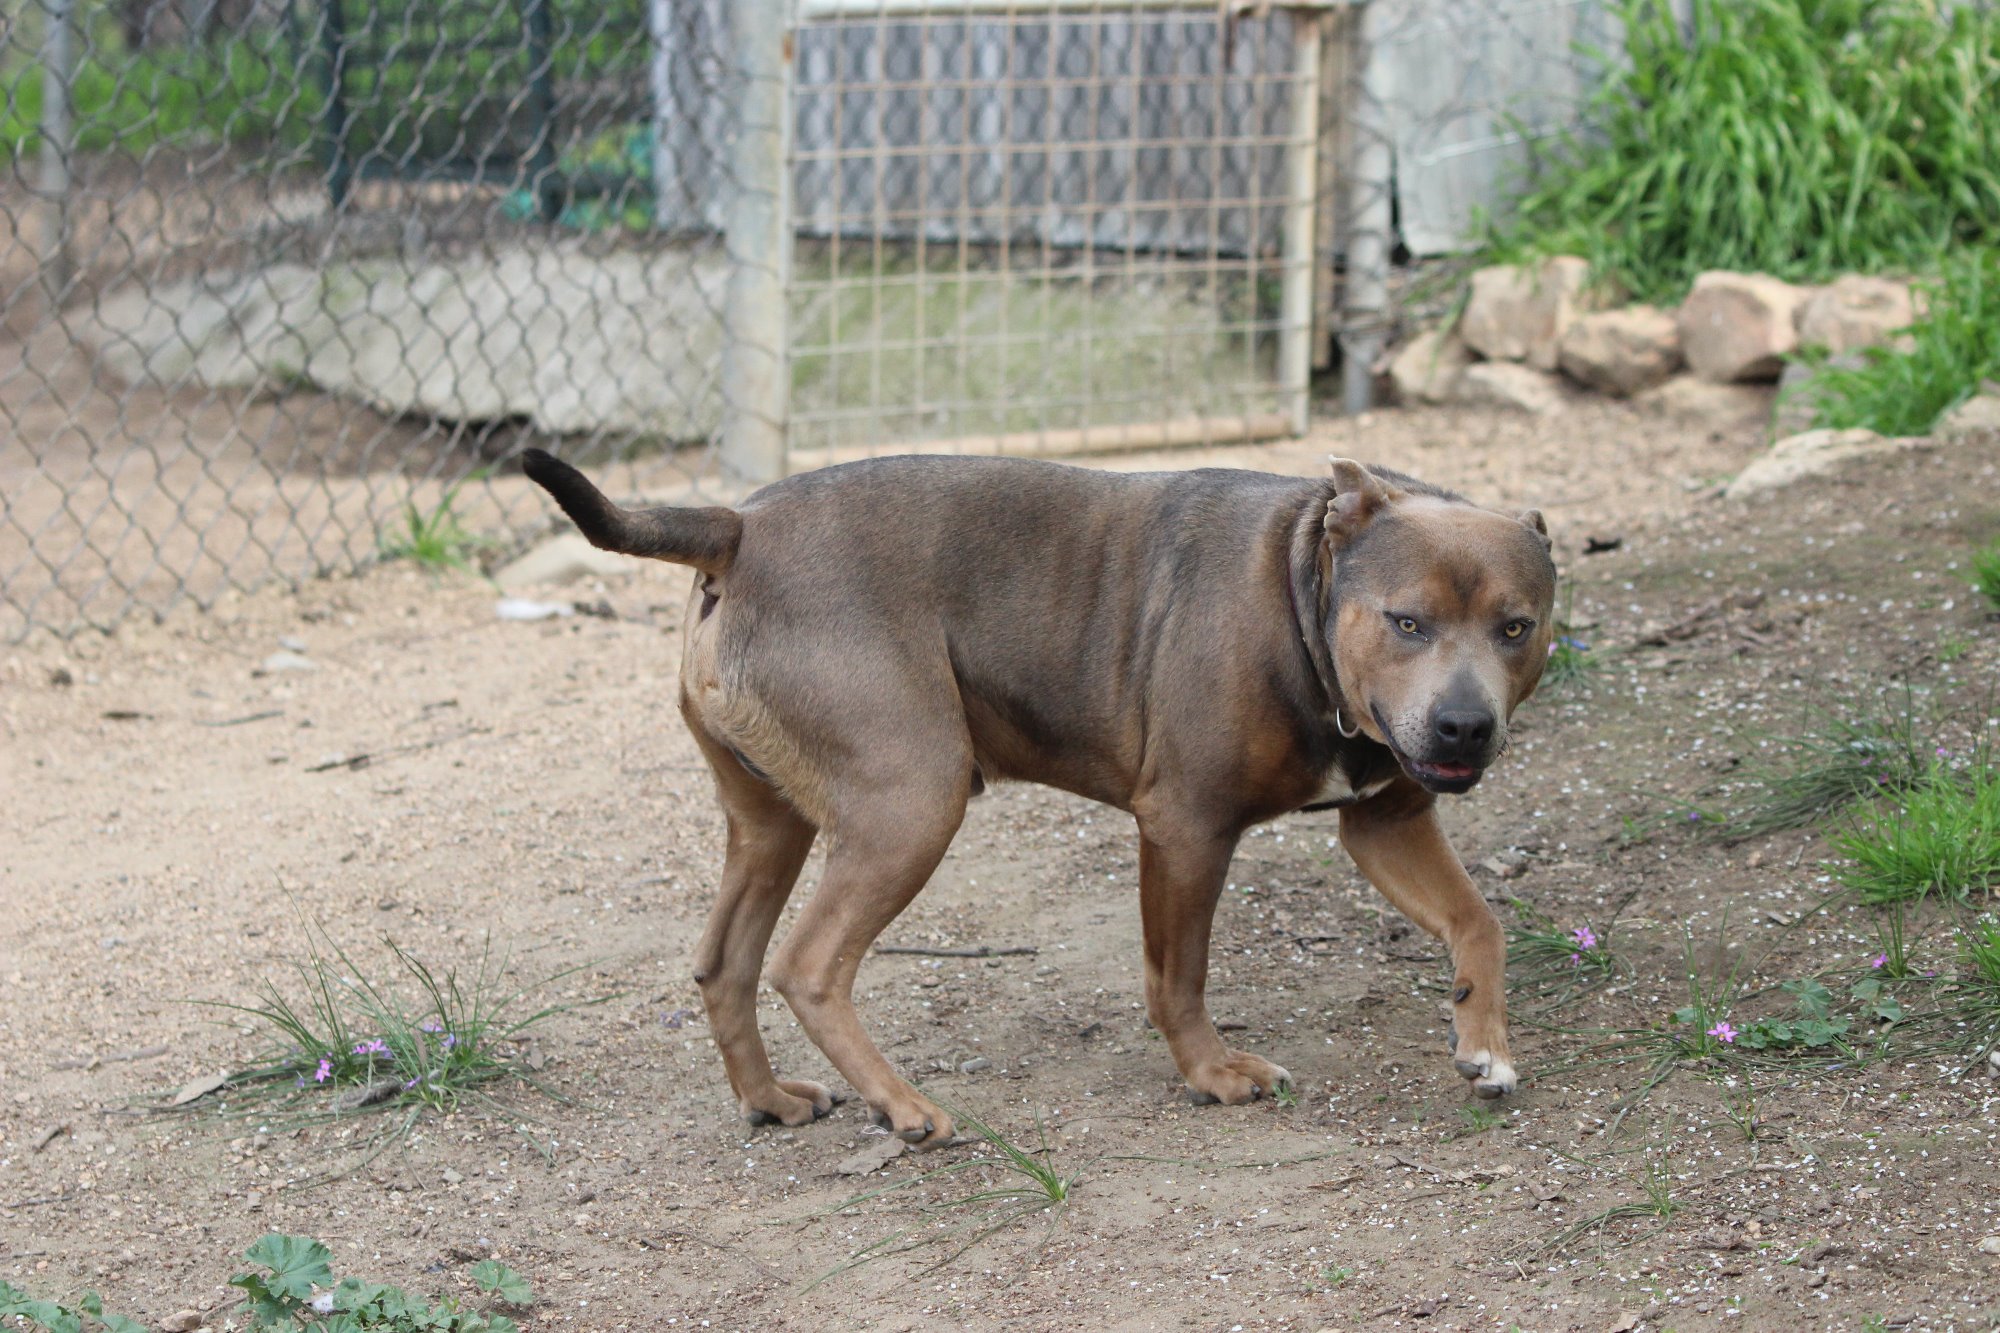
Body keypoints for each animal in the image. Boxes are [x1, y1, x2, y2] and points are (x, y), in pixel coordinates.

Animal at [522, 449, 1557, 1147]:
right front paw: (1212, 1072)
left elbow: (1479, 922)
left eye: (1517, 627)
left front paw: (1484, 1040)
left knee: (724, 963)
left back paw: (769, 1099)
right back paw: (904, 1107)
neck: (1301, 581)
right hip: (913, 801)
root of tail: (739, 528)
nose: (1464, 727)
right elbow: (1178, 977)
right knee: (808, 965)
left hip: (772, 822)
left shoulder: (1387, 820)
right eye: (1406, 621)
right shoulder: (1186, 827)